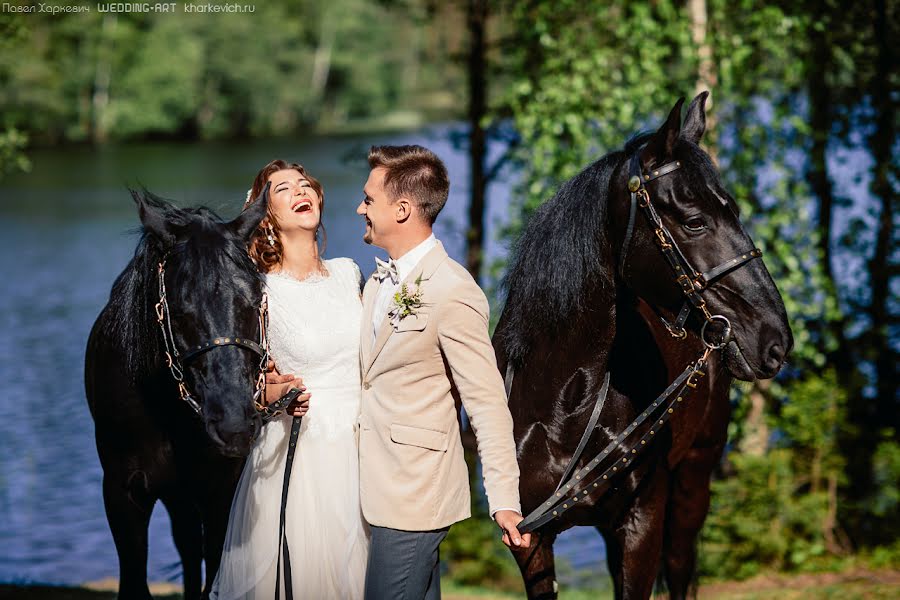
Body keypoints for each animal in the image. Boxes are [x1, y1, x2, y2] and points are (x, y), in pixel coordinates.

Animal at [492, 91, 796, 596]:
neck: (566, 402)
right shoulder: (529, 541)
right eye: (694, 221)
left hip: (693, 482)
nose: (775, 340)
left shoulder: (642, 524)